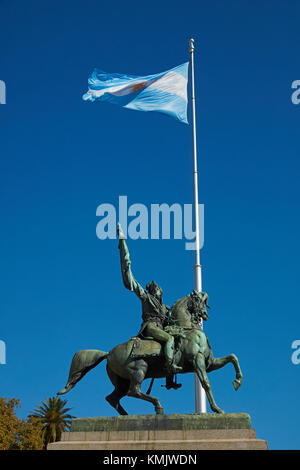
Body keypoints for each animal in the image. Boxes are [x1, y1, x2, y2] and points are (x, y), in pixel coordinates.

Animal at [57, 290, 243, 414]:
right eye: (199, 300)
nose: (204, 314)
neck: (188, 329)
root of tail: (108, 353)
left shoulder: (210, 363)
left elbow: (233, 358)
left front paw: (237, 381)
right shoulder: (198, 361)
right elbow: (206, 383)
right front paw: (217, 409)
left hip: (121, 381)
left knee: (113, 398)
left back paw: (126, 417)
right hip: (139, 370)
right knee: (134, 391)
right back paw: (157, 405)